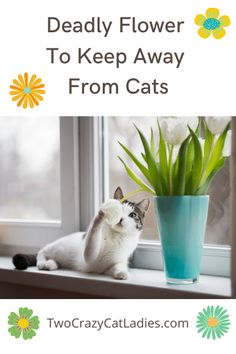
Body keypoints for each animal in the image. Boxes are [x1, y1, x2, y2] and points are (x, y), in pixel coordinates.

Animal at [12, 187, 149, 280]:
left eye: (132, 215)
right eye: (120, 210)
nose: (120, 219)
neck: (116, 236)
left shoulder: (114, 263)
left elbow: (118, 266)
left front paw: (122, 273)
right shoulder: (90, 255)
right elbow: (94, 232)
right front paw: (101, 214)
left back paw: (51, 264)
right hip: (56, 248)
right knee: (42, 251)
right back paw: (43, 263)